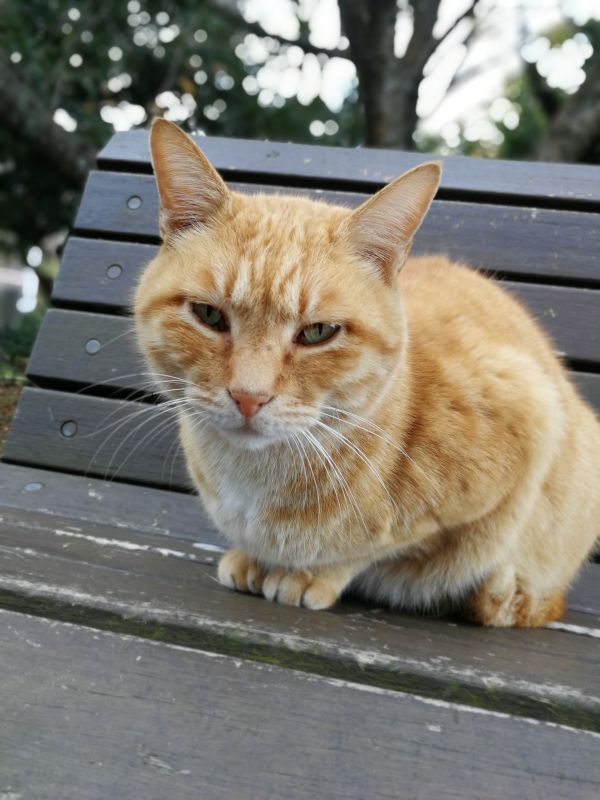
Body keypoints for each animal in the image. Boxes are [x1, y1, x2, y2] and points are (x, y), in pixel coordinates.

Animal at [136, 120, 600, 632]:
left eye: (318, 332)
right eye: (209, 315)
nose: (248, 396)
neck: (255, 479)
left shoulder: (526, 429)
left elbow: (377, 548)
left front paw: (307, 574)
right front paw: (252, 559)